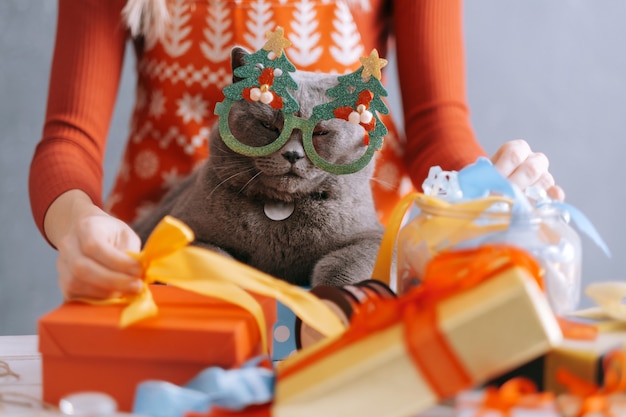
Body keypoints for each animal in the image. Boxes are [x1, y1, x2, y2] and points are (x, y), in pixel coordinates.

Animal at [134, 46, 382, 286]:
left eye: (320, 133)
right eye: (268, 126)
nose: (292, 154)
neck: (281, 207)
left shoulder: (372, 237)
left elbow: (343, 265)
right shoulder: (183, 231)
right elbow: (216, 262)